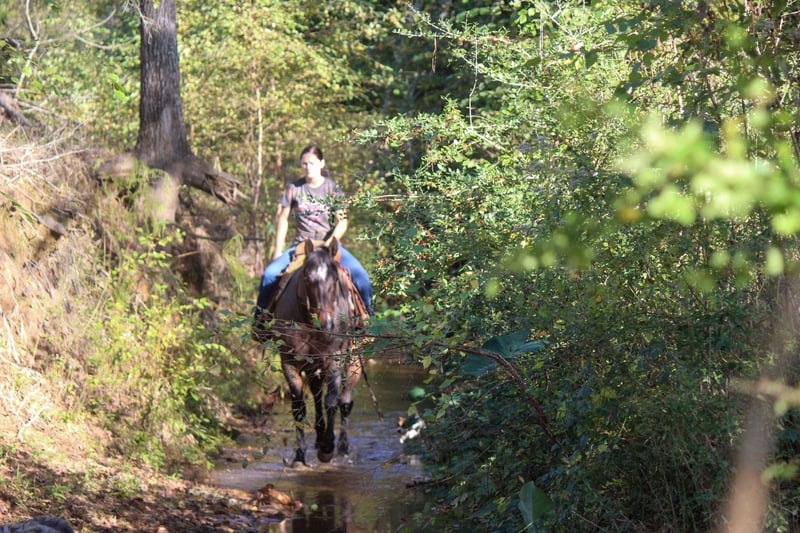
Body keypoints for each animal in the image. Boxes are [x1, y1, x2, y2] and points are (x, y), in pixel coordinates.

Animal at [253, 238, 362, 466]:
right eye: (307, 278)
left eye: (335, 280)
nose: (325, 323)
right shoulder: (289, 361)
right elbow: (299, 407)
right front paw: (300, 455)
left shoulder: (335, 360)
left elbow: (332, 402)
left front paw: (328, 449)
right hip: (313, 367)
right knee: (317, 395)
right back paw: (319, 439)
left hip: (353, 362)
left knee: (345, 401)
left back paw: (343, 447)